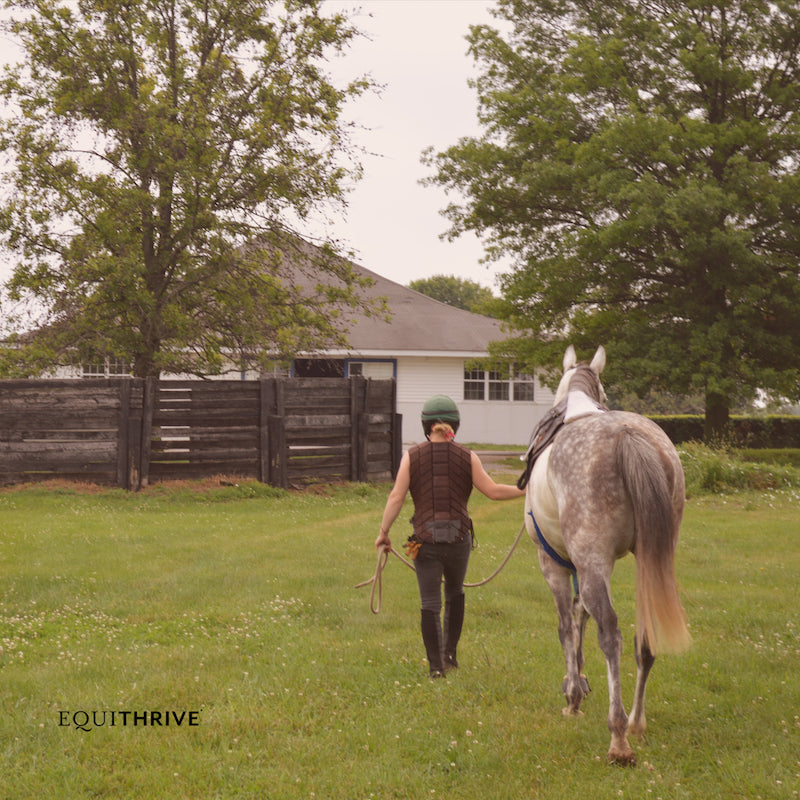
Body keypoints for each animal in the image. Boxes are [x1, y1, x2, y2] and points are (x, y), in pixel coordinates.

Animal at [524, 346, 688, 764]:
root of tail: (628, 436)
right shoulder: (592, 566)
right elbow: (580, 615)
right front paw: (580, 683)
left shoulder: (555, 564)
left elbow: (566, 626)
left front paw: (573, 693)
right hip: (651, 560)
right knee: (642, 639)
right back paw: (635, 722)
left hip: (589, 563)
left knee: (611, 634)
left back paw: (618, 737)